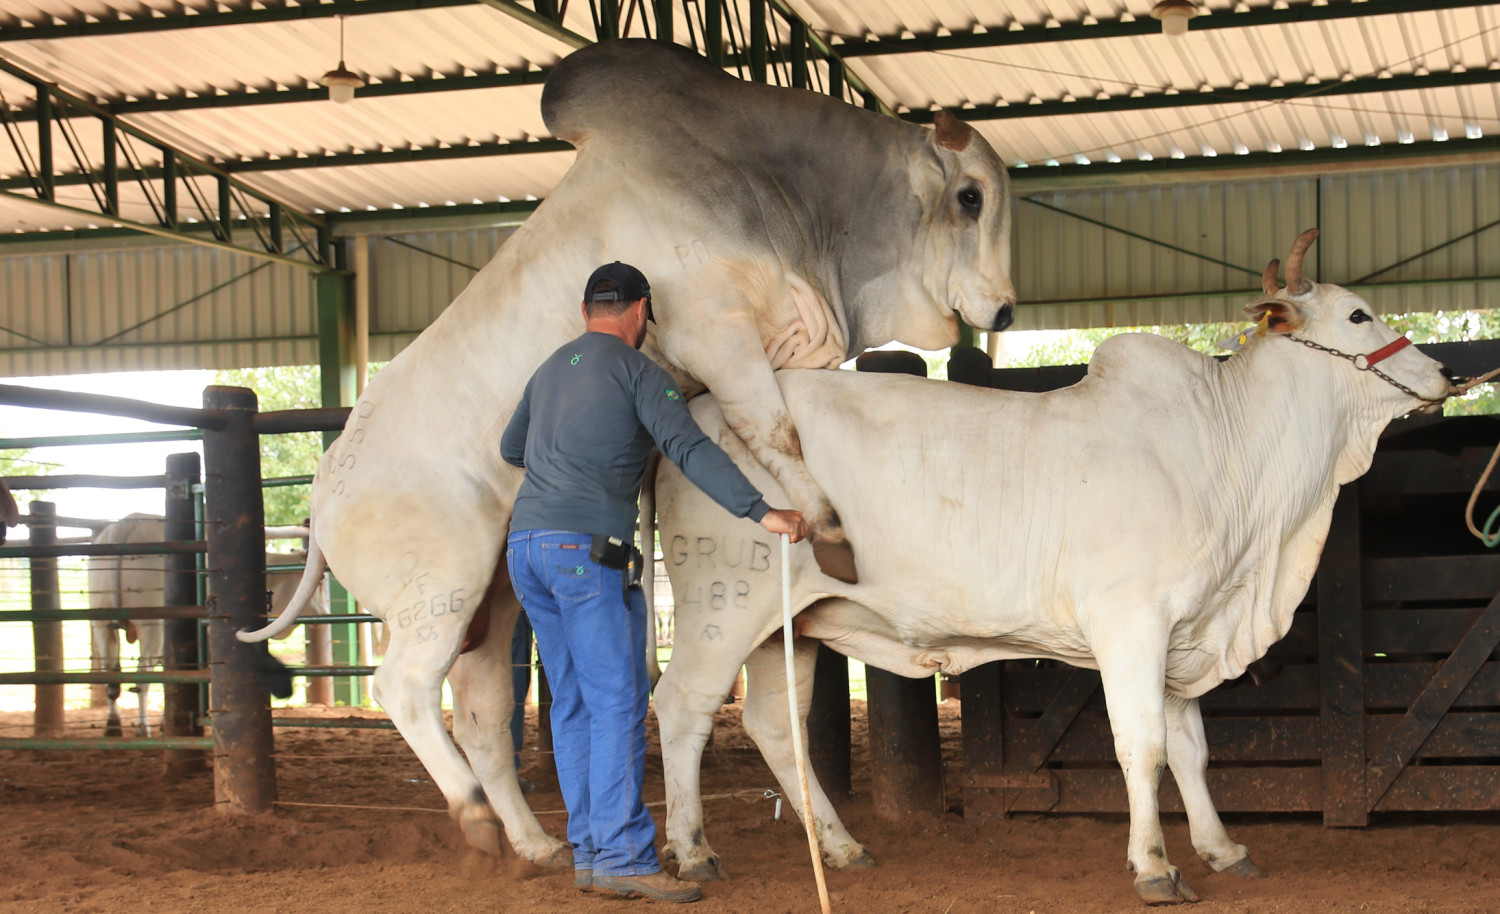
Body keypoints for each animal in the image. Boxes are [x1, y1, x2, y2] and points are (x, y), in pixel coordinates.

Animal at [91, 514, 327, 737]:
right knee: (142, 681)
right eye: (321, 580)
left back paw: (113, 725)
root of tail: (126, 524)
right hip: (152, 627)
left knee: (111, 678)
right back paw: (142, 727)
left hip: (101, 623)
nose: (325, 613)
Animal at [238, 38, 1015, 865]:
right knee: (406, 688)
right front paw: (829, 530)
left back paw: (534, 842)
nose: (1004, 311)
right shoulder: (714, 332)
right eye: (970, 198)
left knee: (481, 716)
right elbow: (773, 427)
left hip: (492, 605)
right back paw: (476, 817)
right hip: (439, 590)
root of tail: (326, 491)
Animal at [650, 230, 1458, 905]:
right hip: (720, 607)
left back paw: (843, 848)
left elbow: (1191, 752)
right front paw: (1154, 866)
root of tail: (696, 410)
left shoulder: (1182, 632)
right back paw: (692, 853)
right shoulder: (1132, 623)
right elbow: (1143, 746)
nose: (1445, 371)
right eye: (1357, 315)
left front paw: (1222, 849)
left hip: (790, 626)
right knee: (682, 708)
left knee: (775, 725)